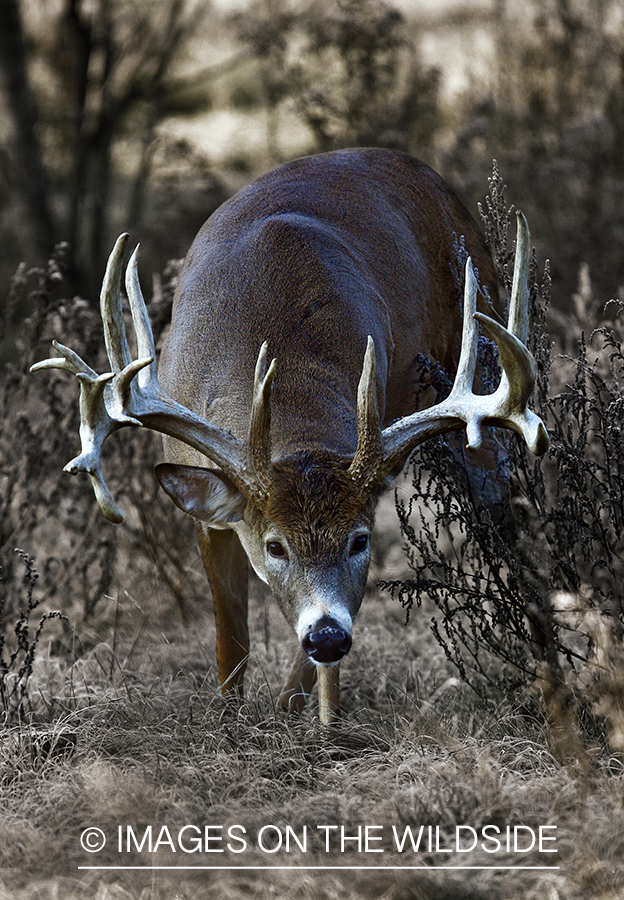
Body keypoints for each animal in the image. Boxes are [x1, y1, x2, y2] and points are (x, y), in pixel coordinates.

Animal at [30, 148, 544, 724]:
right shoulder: (212, 513)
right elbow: (231, 637)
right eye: (275, 546)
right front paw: (231, 721)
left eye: (358, 540)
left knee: (511, 517)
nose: (326, 636)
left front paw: (322, 723)